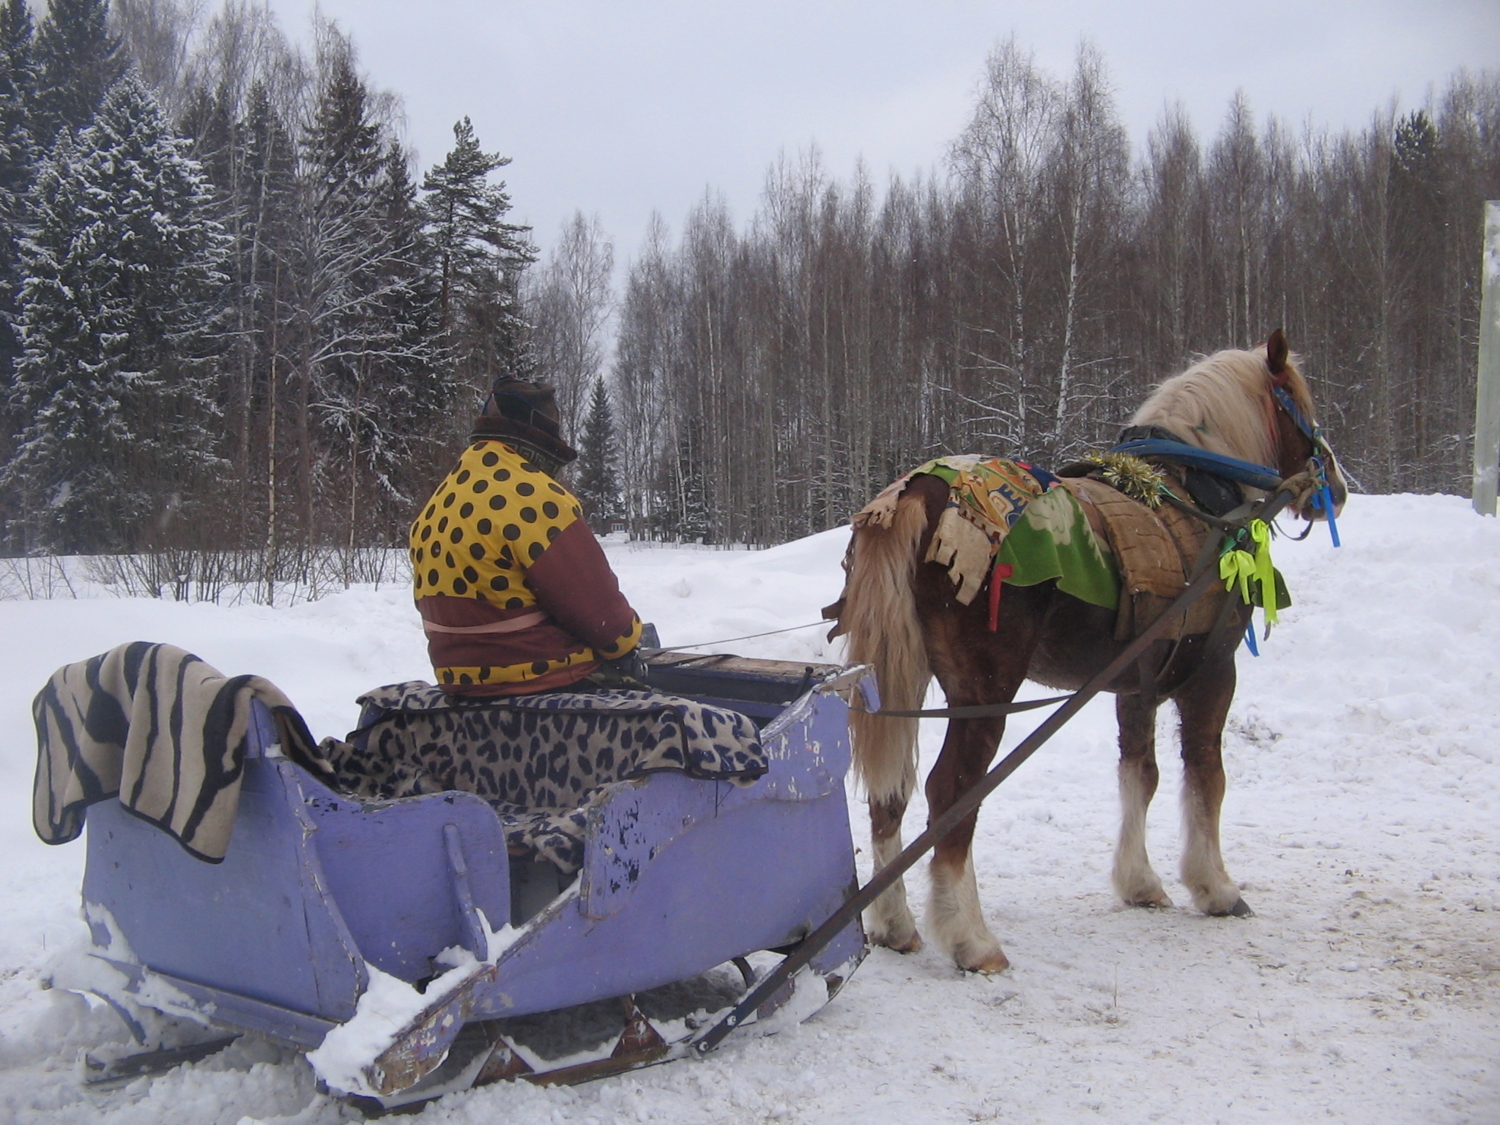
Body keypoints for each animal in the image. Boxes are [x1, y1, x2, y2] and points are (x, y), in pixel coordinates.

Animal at [834, 330, 1350, 972]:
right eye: (1302, 404)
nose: (1337, 488)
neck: (1200, 497)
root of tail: (918, 490)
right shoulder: (1212, 673)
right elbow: (1207, 776)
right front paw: (1215, 886)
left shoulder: (1137, 684)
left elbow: (1141, 774)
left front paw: (1140, 882)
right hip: (983, 692)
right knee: (950, 793)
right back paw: (971, 938)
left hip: (900, 679)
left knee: (891, 792)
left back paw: (895, 923)